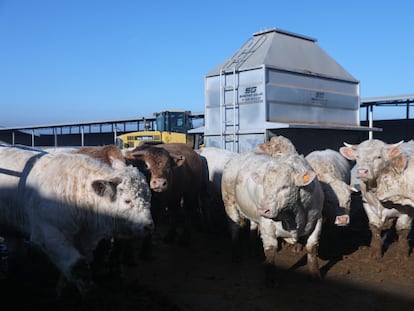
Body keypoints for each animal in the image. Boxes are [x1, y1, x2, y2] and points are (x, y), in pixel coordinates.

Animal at [0, 146, 154, 298]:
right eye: (127, 201)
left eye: (149, 197)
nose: (148, 226)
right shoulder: (48, 235)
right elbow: (79, 268)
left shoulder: (83, 241)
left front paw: (61, 289)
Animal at [222, 151, 326, 282]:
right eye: (264, 185)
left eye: (285, 186)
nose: (263, 210)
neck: (294, 216)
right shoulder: (267, 225)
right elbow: (271, 252)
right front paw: (270, 279)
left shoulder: (317, 219)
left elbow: (312, 247)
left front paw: (315, 274)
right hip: (229, 201)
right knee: (234, 227)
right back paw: (236, 255)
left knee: (253, 226)